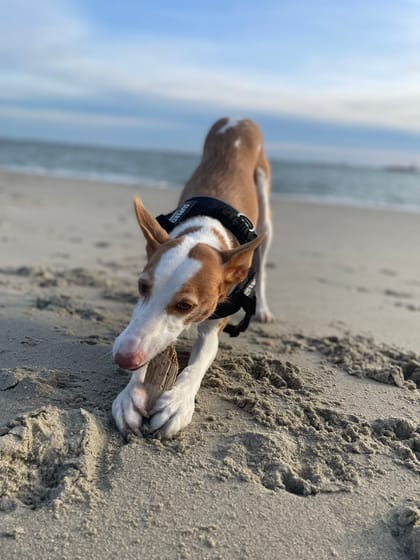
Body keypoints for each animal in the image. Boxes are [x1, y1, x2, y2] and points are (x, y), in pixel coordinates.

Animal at [112, 118, 272, 440]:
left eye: (185, 306)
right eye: (142, 286)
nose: (123, 358)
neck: (206, 230)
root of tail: (238, 119)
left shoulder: (213, 326)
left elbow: (196, 365)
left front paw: (177, 403)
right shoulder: (140, 321)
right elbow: (143, 335)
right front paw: (129, 395)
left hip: (265, 212)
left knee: (262, 265)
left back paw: (262, 308)